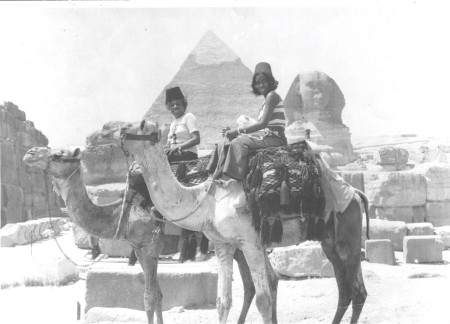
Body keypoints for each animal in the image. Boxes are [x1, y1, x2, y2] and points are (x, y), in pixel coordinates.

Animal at [22, 146, 260, 324]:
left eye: (58, 154)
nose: (29, 153)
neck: (122, 213)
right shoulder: (139, 248)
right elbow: (159, 295)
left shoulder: (149, 246)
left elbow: (149, 298)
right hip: (235, 243)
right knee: (250, 286)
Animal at [114, 120, 370, 324]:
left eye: (140, 125)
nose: (116, 130)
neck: (205, 198)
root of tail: (356, 194)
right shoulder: (223, 244)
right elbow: (222, 302)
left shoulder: (250, 242)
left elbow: (263, 300)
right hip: (329, 240)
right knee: (345, 291)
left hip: (348, 231)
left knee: (358, 292)